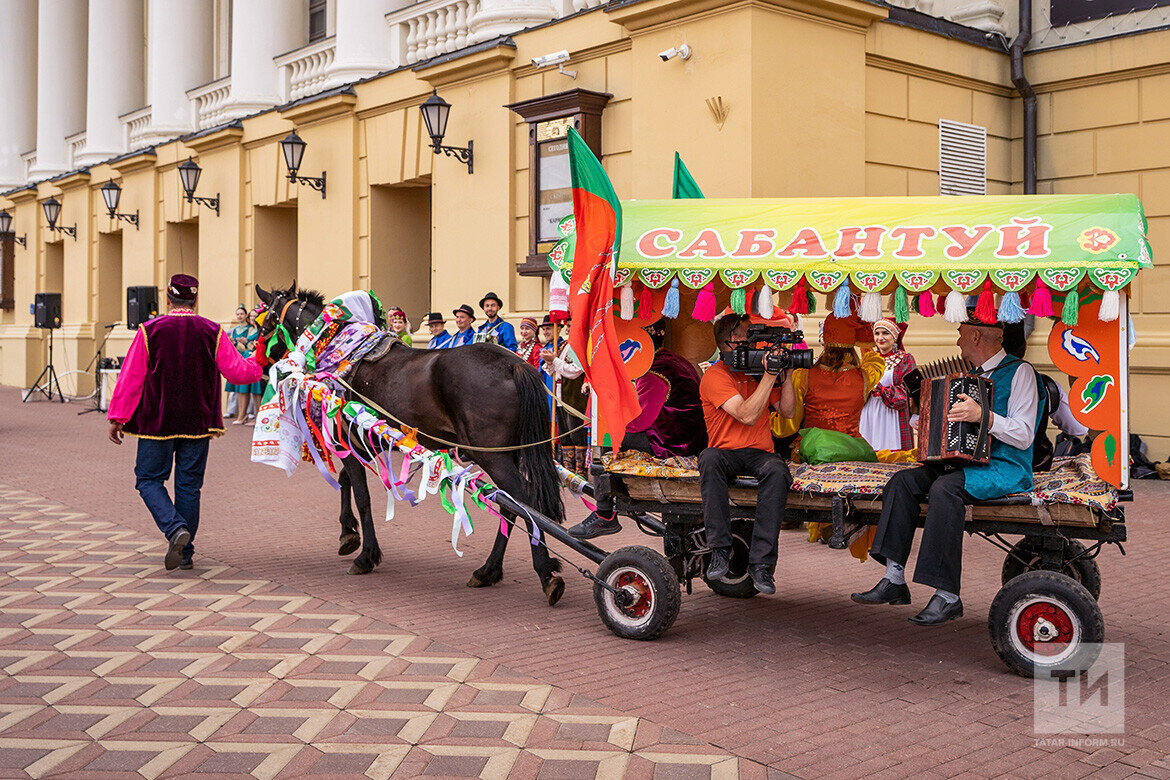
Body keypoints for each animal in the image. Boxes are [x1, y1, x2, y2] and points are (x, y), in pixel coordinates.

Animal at [255, 284, 566, 608]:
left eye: (262, 323)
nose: (257, 360)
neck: (342, 351)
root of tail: (513, 364)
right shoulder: (363, 441)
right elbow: (345, 482)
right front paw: (347, 533)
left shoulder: (349, 441)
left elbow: (362, 496)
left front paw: (366, 554)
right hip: (510, 454)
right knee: (510, 505)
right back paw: (488, 570)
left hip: (493, 456)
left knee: (523, 501)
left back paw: (544, 573)